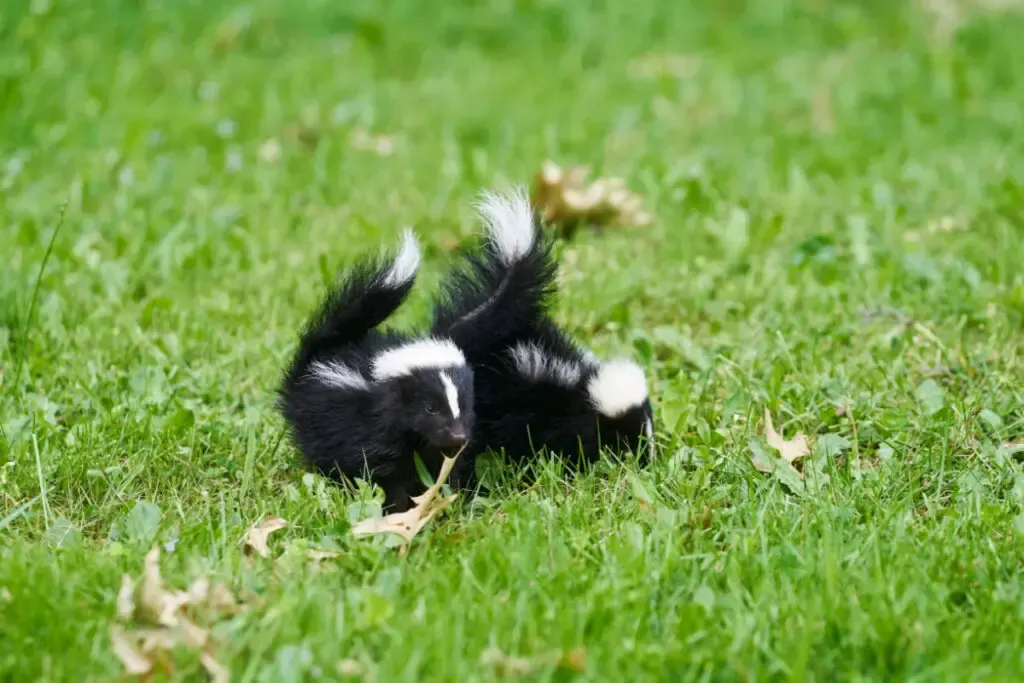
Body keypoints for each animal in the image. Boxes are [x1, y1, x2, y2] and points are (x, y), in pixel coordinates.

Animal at [278, 231, 473, 511]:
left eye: (465, 405)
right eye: (430, 408)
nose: (459, 435)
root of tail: (318, 355)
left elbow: (443, 467)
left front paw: (449, 500)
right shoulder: (373, 430)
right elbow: (384, 474)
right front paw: (397, 509)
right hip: (317, 419)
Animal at [428, 184, 651, 479]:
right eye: (626, 436)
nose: (647, 459)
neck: (583, 382)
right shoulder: (559, 414)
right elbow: (572, 442)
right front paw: (573, 468)